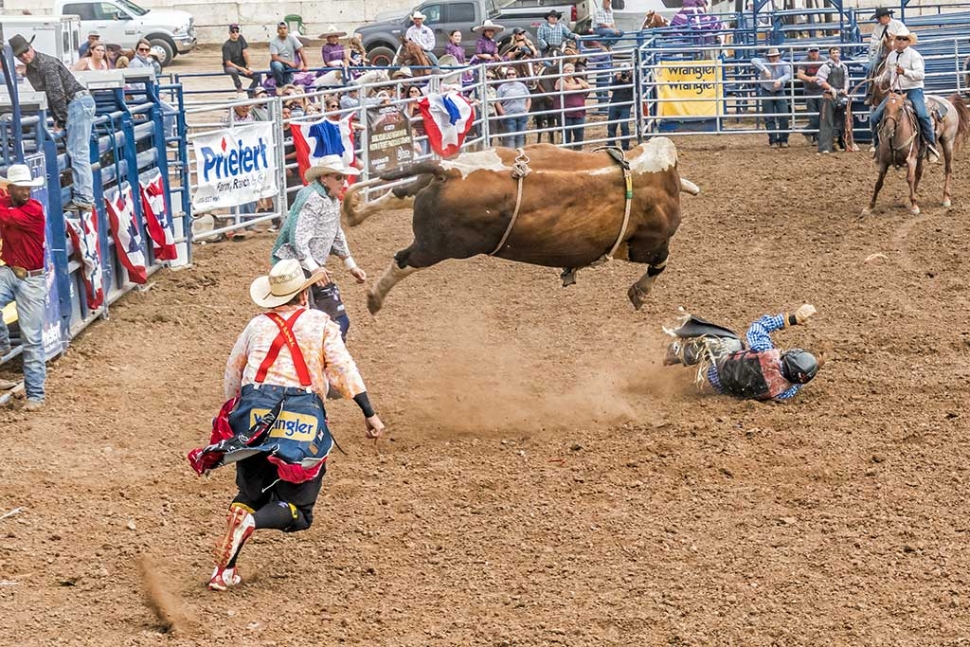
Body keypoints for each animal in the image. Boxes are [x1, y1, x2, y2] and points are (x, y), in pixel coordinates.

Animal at [344, 138, 700, 316]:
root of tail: (449, 169)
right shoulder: (644, 244)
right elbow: (661, 261)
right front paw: (639, 292)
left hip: (431, 203)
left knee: (400, 193)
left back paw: (355, 210)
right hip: (439, 245)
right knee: (403, 260)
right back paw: (375, 296)